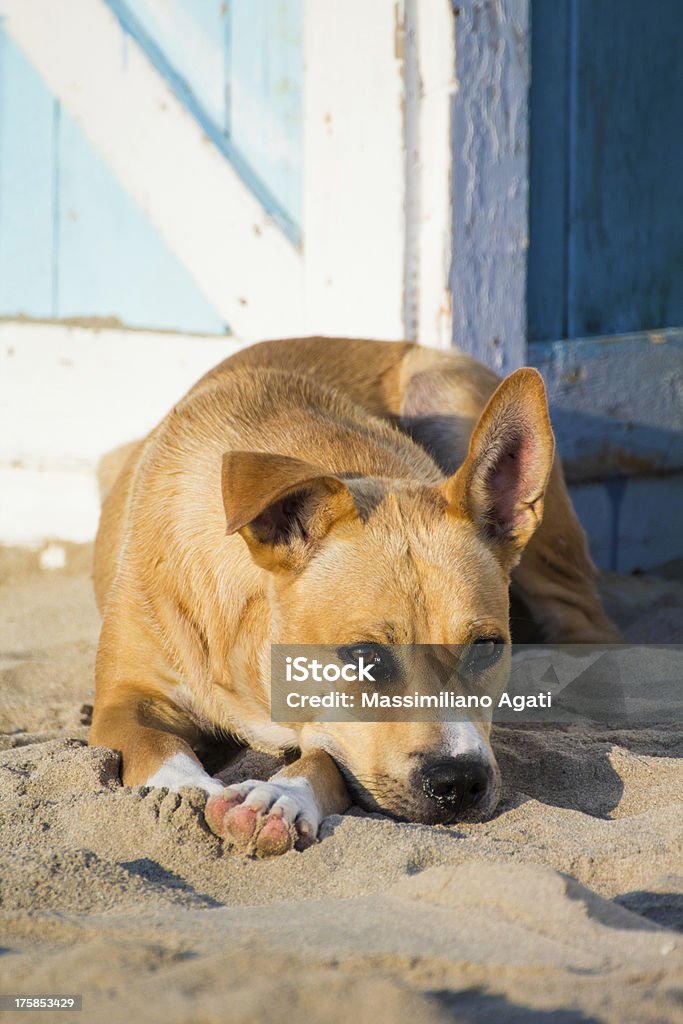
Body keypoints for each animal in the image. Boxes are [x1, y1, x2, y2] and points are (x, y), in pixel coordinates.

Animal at [90, 337, 618, 856]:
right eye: (363, 656)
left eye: (486, 647)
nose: (460, 782)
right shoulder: (122, 698)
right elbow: (156, 746)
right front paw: (188, 788)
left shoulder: (339, 739)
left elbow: (326, 761)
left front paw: (279, 797)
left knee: (588, 622)